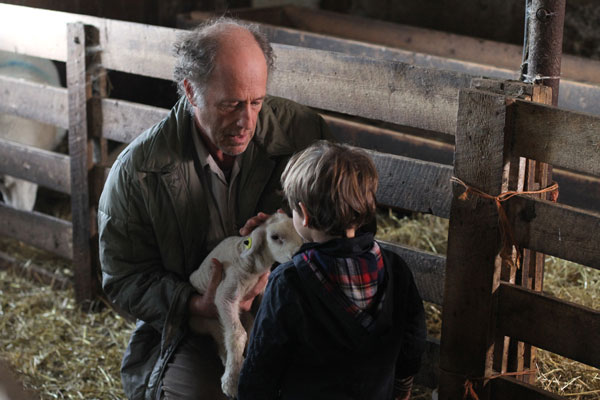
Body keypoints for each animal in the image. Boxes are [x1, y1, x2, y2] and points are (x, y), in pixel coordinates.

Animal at [189, 211, 302, 398]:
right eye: (275, 237)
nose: (296, 255)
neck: (253, 266)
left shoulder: (262, 290)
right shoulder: (225, 294)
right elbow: (237, 335)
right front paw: (231, 383)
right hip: (204, 320)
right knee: (221, 337)